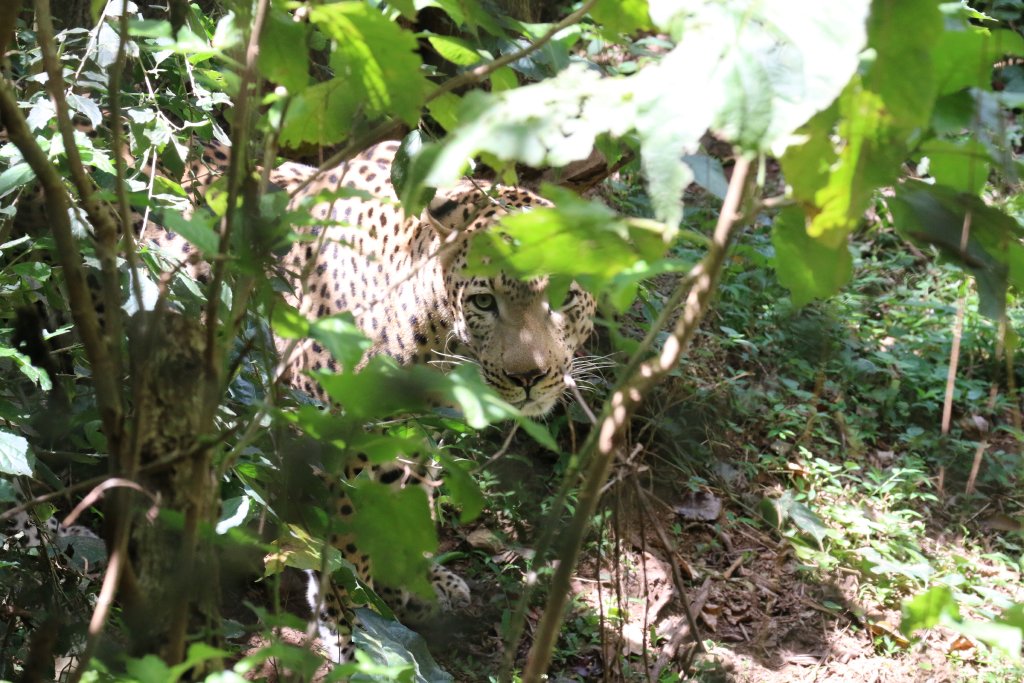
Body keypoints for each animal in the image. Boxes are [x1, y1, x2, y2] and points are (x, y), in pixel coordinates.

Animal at [2, 132, 598, 664]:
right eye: (483, 302)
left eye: (565, 297)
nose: (531, 376)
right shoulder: (327, 422)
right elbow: (345, 531)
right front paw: (352, 622)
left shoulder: (408, 427)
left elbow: (407, 497)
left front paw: (418, 583)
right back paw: (53, 539)